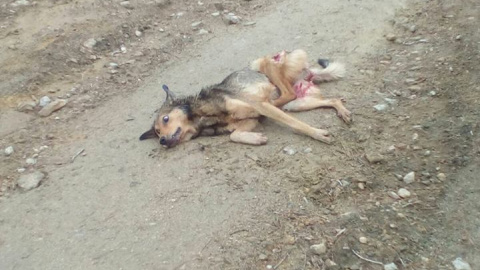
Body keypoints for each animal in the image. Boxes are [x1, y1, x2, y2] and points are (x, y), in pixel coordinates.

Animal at [138, 48, 348, 148]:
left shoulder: (257, 105)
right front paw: (254, 139)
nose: (162, 141)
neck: (201, 116)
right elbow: (234, 135)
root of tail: (309, 73)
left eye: (165, 119)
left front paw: (317, 134)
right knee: (331, 99)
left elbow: (296, 124)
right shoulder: (249, 121)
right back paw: (343, 112)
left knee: (287, 93)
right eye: (157, 132)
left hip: (265, 63)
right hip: (300, 103)